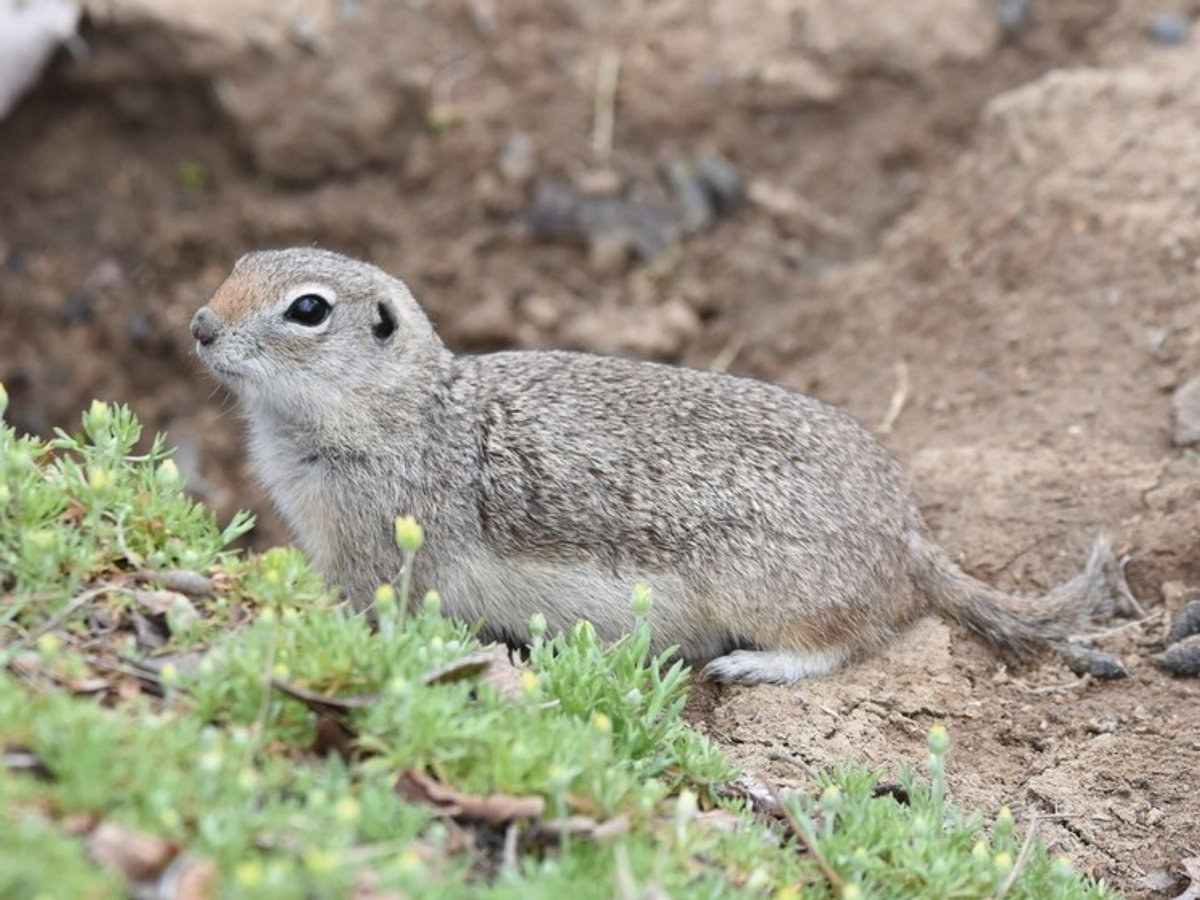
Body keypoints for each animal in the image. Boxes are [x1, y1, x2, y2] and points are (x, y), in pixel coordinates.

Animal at [191, 247, 1123, 684]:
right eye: (236, 267)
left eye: (307, 310)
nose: (199, 325)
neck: (402, 408)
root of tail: (909, 540)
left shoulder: (374, 551)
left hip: (769, 589)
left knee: (843, 643)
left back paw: (754, 664)